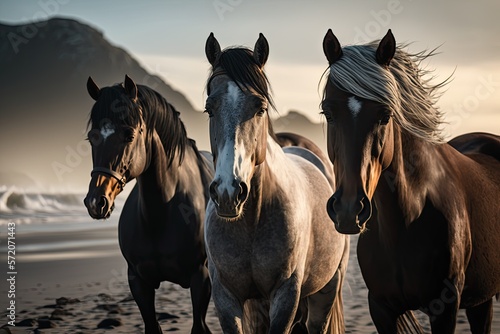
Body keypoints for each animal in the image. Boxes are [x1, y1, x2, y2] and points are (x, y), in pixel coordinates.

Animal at [82, 75, 215, 334]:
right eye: (92, 137)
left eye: (129, 135)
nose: (96, 202)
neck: (162, 214)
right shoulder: (138, 282)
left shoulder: (201, 279)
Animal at [204, 33, 352, 334]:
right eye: (209, 108)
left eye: (260, 108)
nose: (227, 193)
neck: (251, 221)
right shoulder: (225, 297)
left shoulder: (286, 295)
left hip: (328, 288)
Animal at [320, 29, 500, 334]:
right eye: (327, 113)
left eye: (385, 116)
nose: (348, 211)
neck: (405, 221)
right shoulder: (380, 309)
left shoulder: (445, 309)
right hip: (481, 300)